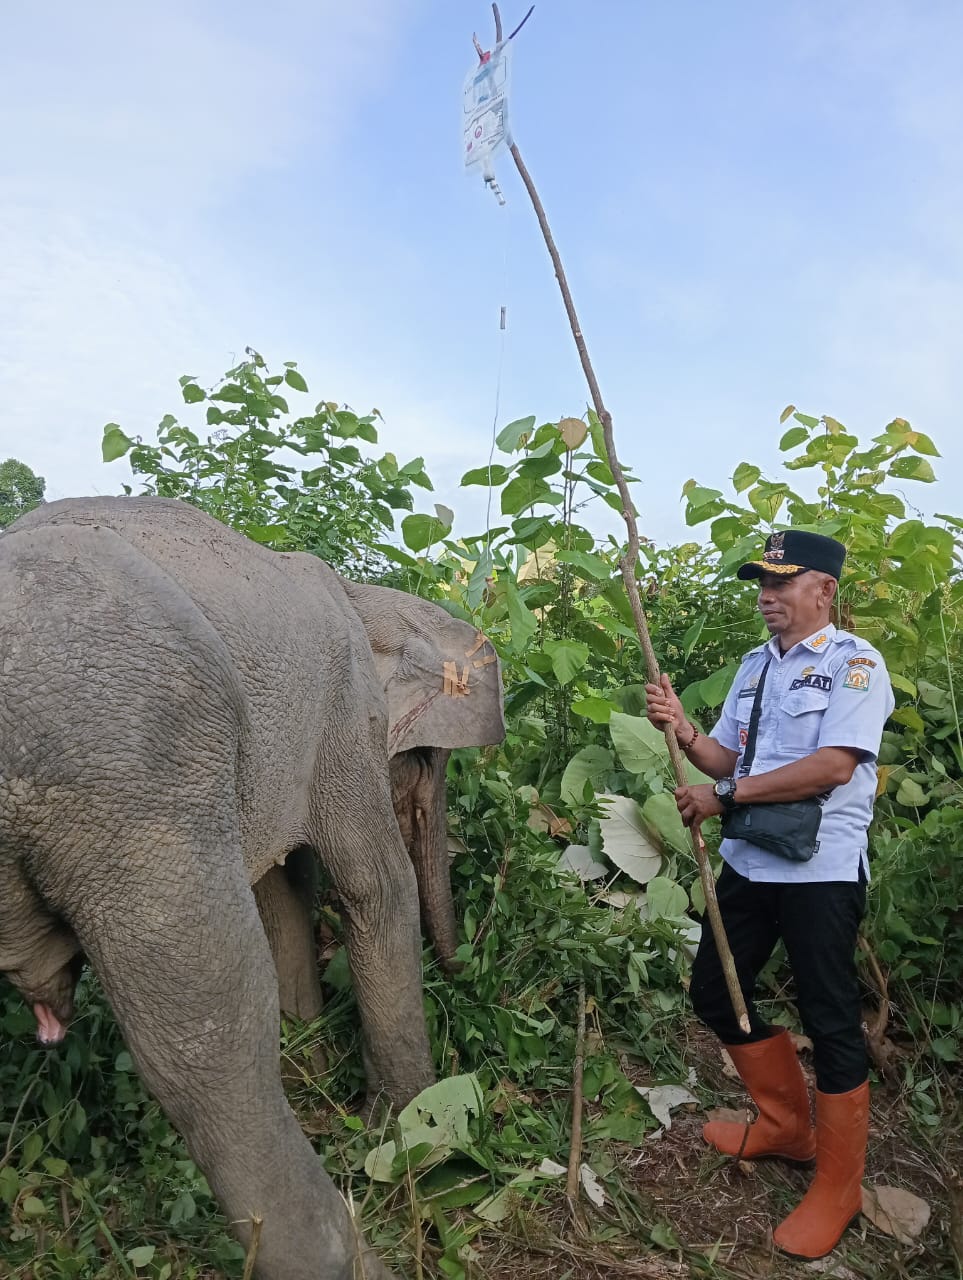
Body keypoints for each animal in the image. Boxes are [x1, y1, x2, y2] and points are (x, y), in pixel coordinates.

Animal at [0, 496, 507, 1280]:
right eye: (425, 762)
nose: (467, 974)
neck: (363, 595)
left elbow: (282, 887)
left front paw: (313, 1064)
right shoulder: (339, 710)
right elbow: (373, 885)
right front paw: (408, 1128)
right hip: (132, 777)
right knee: (209, 1038)